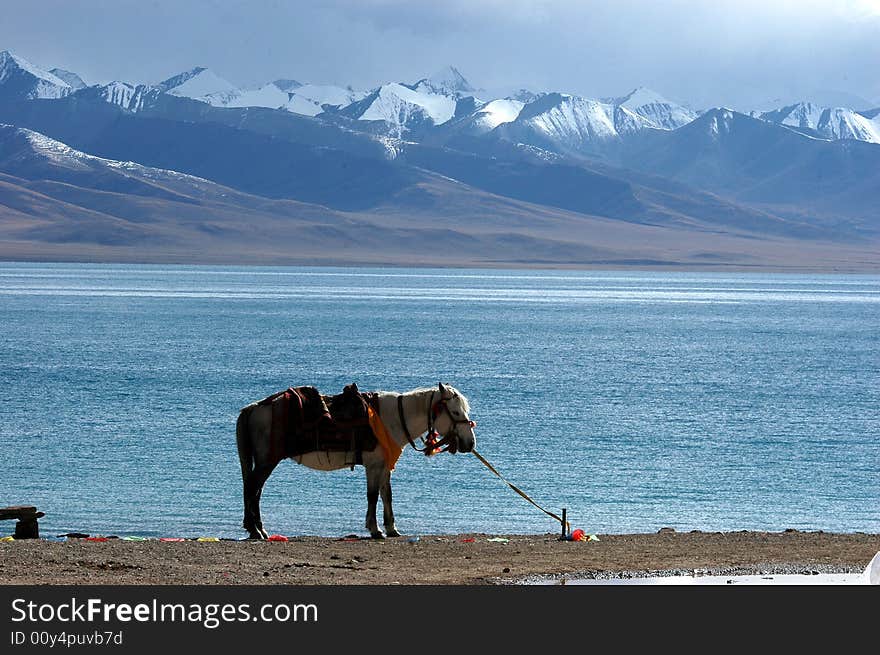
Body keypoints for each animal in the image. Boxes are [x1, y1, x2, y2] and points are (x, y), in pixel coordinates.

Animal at [235, 382, 474, 540]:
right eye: (455, 412)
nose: (469, 443)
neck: (392, 419)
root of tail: (255, 408)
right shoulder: (373, 465)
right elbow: (372, 496)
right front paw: (375, 529)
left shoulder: (384, 466)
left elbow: (387, 495)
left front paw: (391, 528)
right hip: (267, 461)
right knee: (252, 489)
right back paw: (256, 530)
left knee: (254, 490)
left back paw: (258, 529)